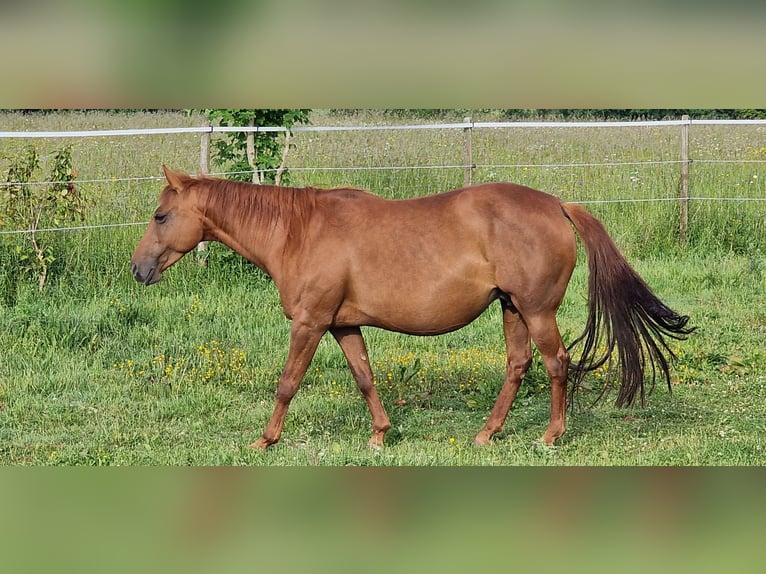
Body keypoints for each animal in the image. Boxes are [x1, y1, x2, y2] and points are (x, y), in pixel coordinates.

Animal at [131, 166, 693, 450]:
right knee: (518, 365)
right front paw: (380, 436)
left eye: (160, 216)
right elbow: (365, 377)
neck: (299, 232)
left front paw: (265, 441)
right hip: (512, 309)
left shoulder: (310, 324)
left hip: (537, 311)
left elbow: (288, 383)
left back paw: (550, 437)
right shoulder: (342, 326)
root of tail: (556, 203)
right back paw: (486, 434)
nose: (138, 269)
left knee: (557, 364)